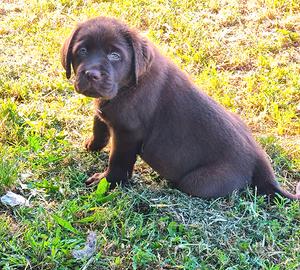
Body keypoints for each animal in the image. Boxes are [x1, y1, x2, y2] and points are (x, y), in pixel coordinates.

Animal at [60, 15, 298, 199]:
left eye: (115, 55)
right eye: (82, 51)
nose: (92, 74)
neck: (128, 86)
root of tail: (259, 160)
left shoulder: (128, 133)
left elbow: (118, 161)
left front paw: (107, 181)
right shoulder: (106, 108)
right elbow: (99, 124)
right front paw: (92, 145)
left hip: (199, 181)